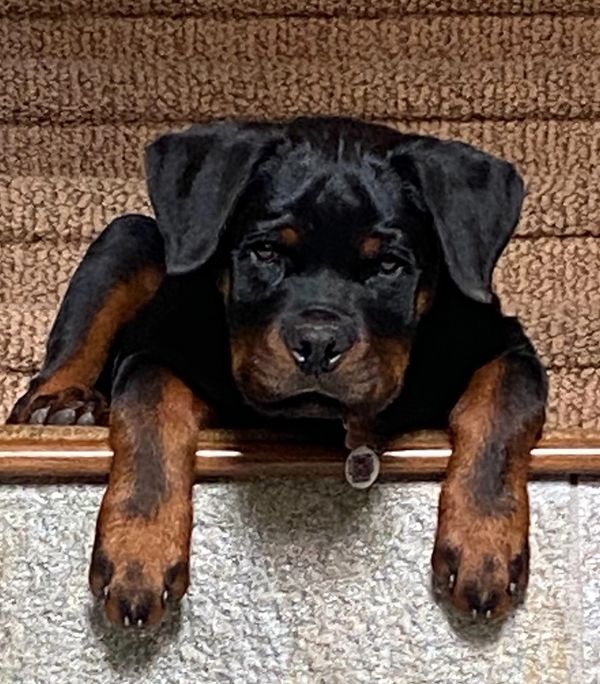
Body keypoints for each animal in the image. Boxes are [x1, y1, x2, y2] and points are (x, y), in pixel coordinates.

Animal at [7, 116, 548, 624]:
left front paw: (483, 549)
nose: (318, 344)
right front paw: (138, 556)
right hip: (128, 236)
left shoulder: (508, 346)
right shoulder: (154, 351)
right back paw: (61, 408)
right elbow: (149, 414)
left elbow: (501, 407)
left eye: (389, 265)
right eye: (265, 251)